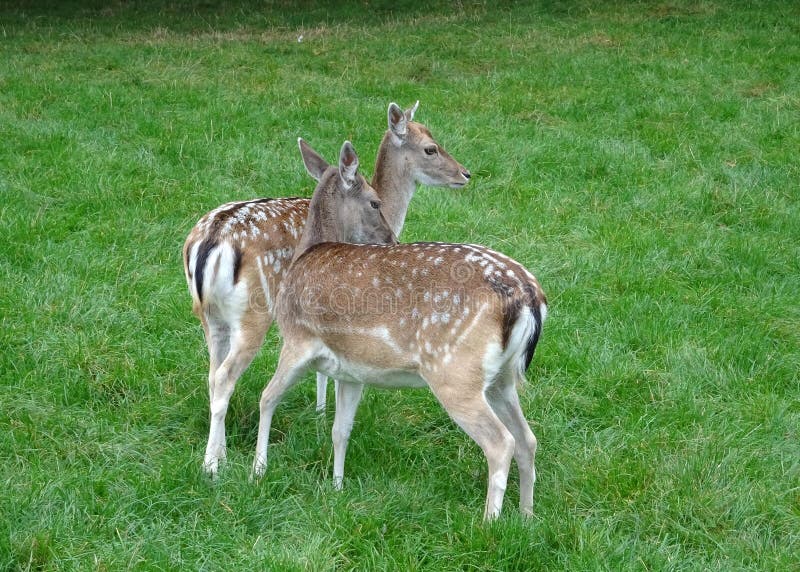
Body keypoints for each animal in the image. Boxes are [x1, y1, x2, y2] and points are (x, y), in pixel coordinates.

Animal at [183, 101, 468, 474]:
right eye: (430, 148)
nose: (465, 173)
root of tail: (207, 241)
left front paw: (319, 414)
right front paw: (324, 414)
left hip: (210, 317)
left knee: (212, 374)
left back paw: (218, 453)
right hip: (252, 313)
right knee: (225, 376)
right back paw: (215, 466)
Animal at [256, 141, 552, 520]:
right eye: (374, 201)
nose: (391, 239)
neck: (304, 255)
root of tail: (529, 295)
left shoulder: (297, 338)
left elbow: (268, 397)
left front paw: (258, 470)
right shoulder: (351, 371)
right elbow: (340, 429)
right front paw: (336, 486)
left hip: (455, 372)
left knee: (501, 442)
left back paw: (488, 522)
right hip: (502, 377)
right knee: (527, 439)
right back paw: (527, 516)